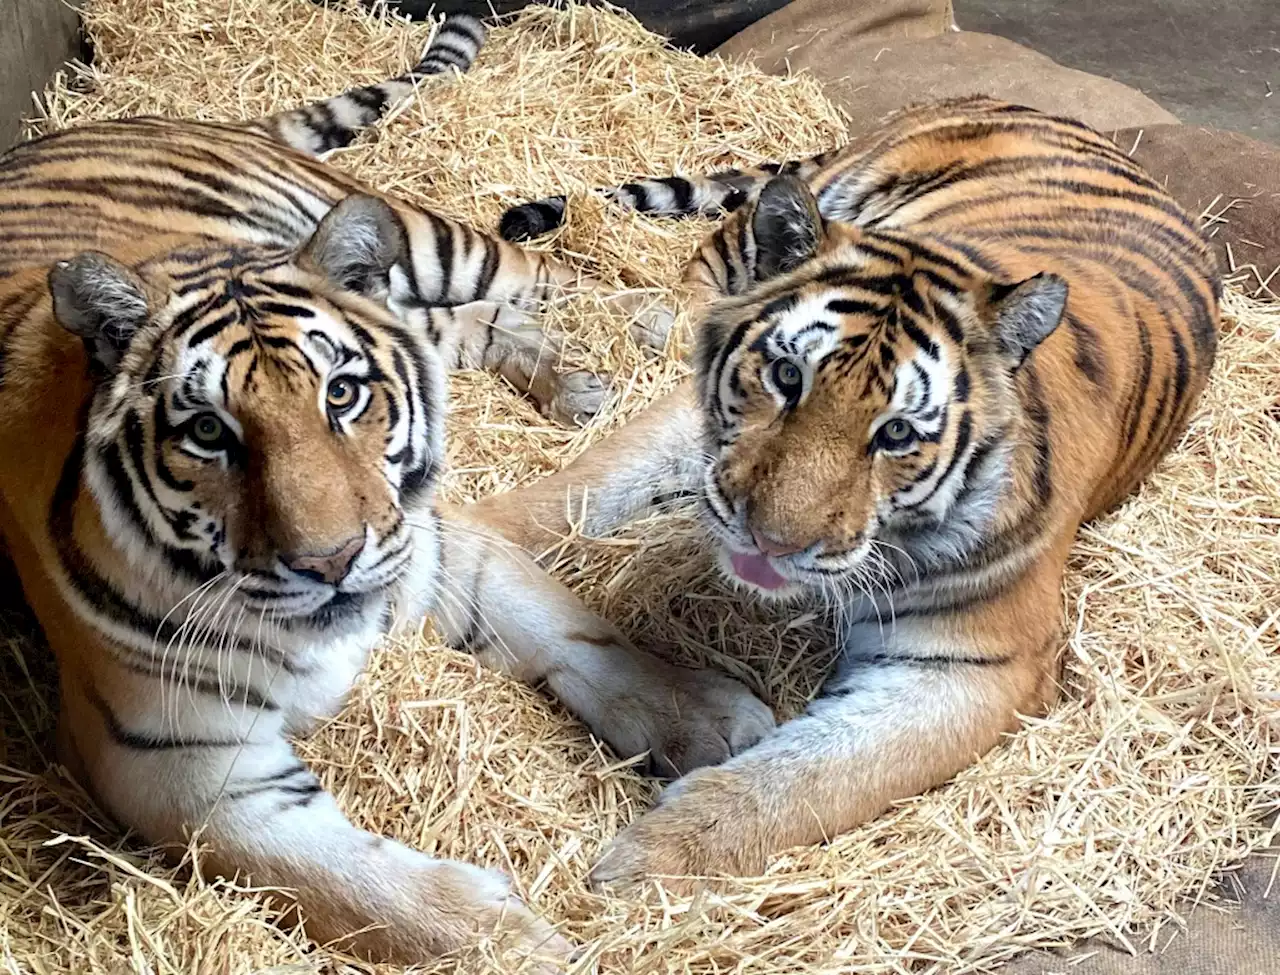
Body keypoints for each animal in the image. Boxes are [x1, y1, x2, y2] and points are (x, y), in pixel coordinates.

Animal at [0, 11, 768, 962]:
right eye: (209, 432)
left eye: (342, 393)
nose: (331, 562)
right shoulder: (180, 764)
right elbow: (365, 887)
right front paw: (520, 945)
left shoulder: (447, 550)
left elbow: (587, 639)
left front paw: (715, 720)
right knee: (470, 324)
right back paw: (572, 380)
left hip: (430, 237)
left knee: (546, 274)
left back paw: (655, 321)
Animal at [473, 94, 1218, 885]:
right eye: (786, 376)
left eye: (896, 434)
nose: (769, 543)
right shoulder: (689, 429)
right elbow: (592, 483)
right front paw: (478, 533)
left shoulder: (974, 665)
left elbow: (806, 779)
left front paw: (644, 861)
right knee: (708, 253)